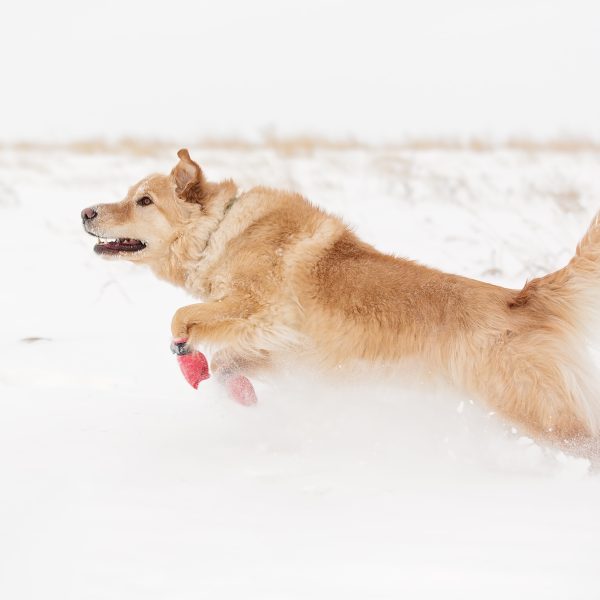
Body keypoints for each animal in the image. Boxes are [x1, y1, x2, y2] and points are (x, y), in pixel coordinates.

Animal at [82, 149, 600, 446]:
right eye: (130, 194)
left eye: (144, 201)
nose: (85, 211)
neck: (220, 231)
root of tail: (522, 298)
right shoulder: (291, 350)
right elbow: (231, 361)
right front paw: (233, 386)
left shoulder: (261, 309)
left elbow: (182, 315)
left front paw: (186, 351)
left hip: (536, 410)